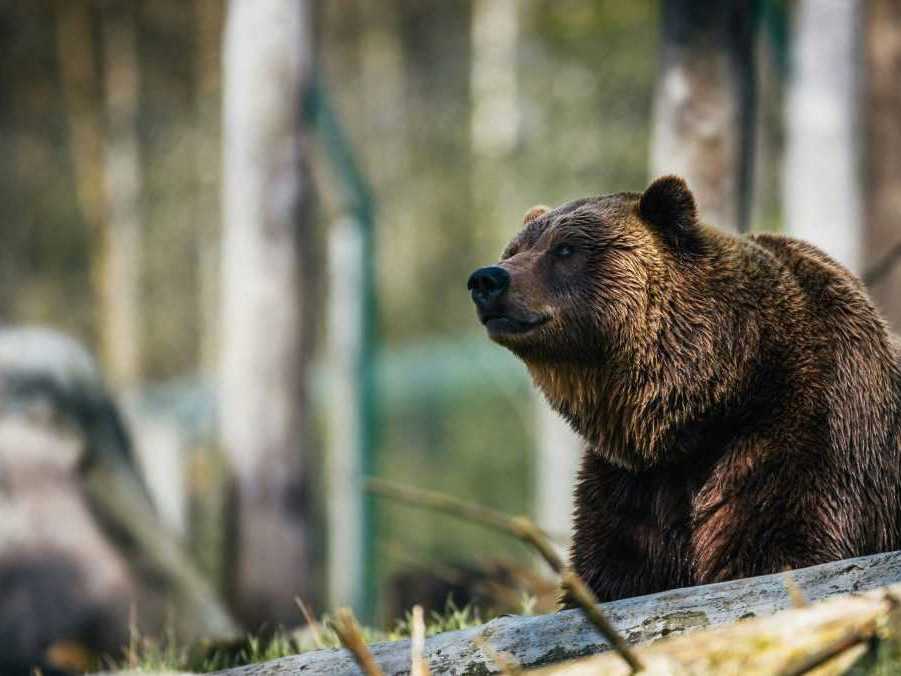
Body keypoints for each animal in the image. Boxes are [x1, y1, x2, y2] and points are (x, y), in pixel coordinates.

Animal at [468, 174, 900, 604]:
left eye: (565, 248)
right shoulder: (633, 485)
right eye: (514, 249)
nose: (487, 279)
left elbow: (778, 546)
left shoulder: (803, 430)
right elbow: (610, 570)